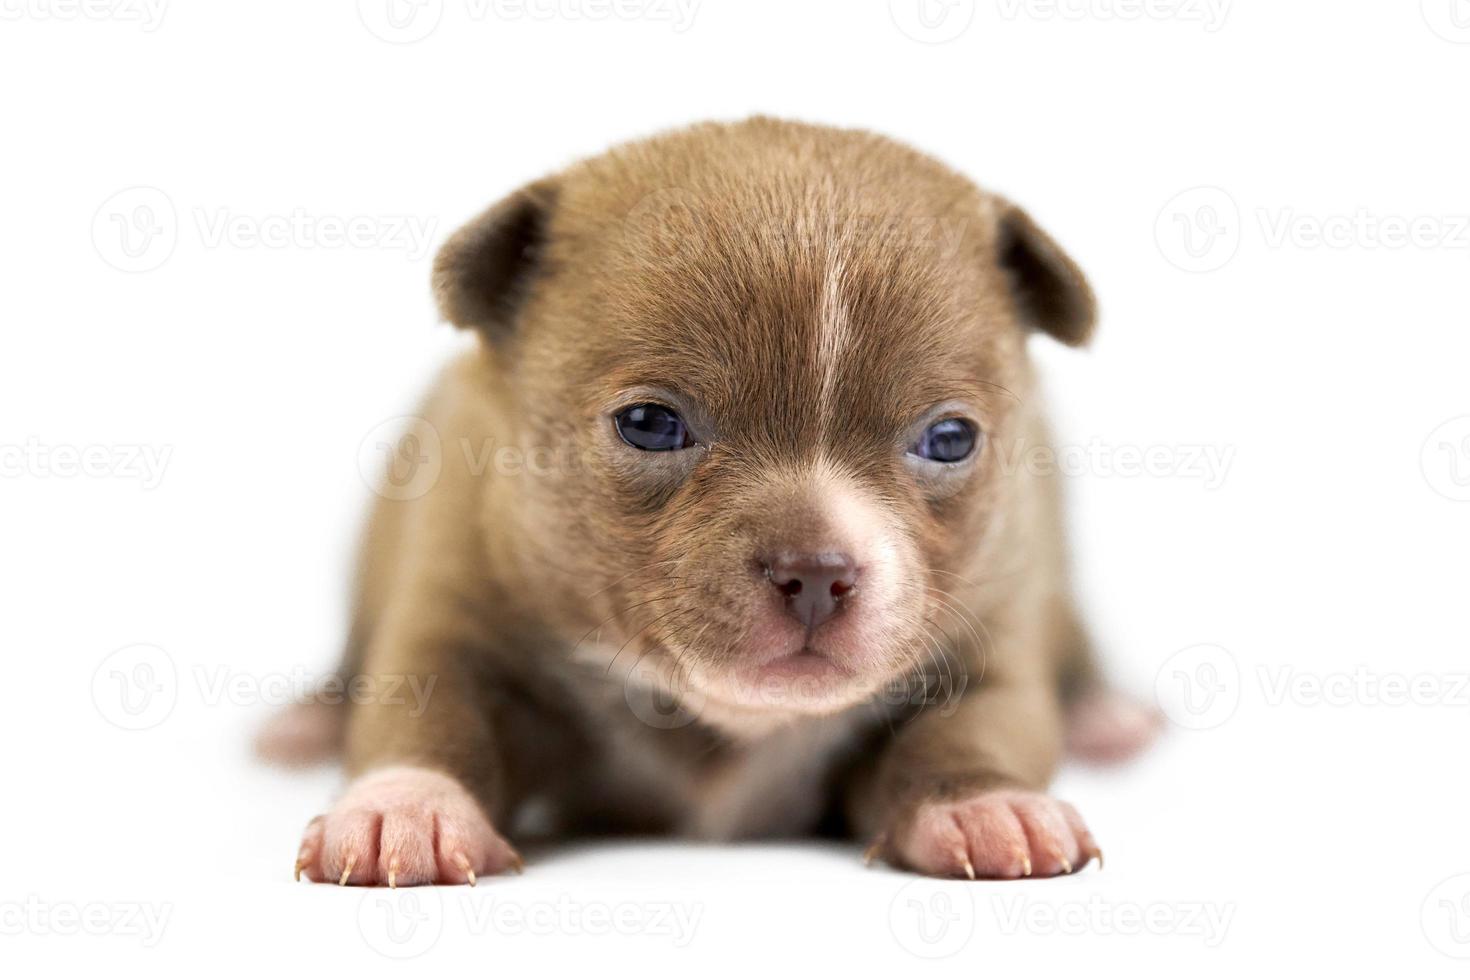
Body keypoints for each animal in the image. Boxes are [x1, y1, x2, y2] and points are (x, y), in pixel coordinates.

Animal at [264, 119, 1158, 887]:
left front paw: (987, 806)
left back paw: (1107, 717)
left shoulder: (989, 640)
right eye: (649, 424)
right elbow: (430, 715)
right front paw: (404, 810)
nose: (816, 572)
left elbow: (972, 726)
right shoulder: (457, 606)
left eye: (950, 439)